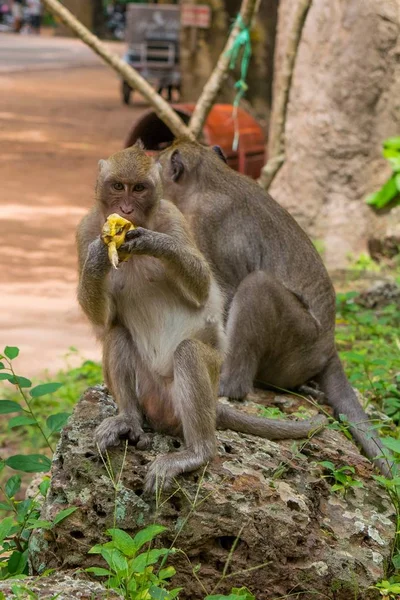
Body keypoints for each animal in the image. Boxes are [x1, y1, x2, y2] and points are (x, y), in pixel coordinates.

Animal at [76, 144, 324, 492]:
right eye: (117, 186)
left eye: (139, 188)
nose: (125, 208)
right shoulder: (84, 230)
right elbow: (104, 317)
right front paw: (100, 253)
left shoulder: (176, 217)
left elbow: (202, 289)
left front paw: (153, 242)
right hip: (149, 395)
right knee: (117, 334)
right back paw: (129, 419)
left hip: (199, 385)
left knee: (190, 353)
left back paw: (197, 453)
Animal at [159, 138, 390, 476]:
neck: (210, 178)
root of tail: (329, 348)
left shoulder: (206, 223)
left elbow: (225, 290)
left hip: (298, 344)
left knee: (257, 287)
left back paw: (231, 386)